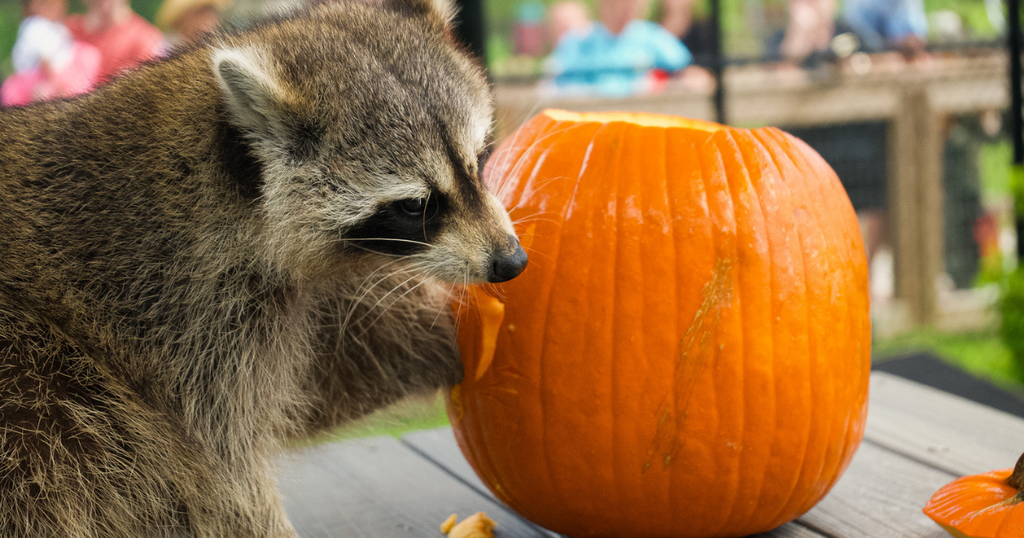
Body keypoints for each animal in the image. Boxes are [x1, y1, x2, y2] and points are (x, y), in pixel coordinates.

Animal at [0, 0, 527, 536]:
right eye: (417, 205)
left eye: (481, 158)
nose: (512, 261)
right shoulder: (184, 321)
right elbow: (224, 478)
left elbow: (337, 360)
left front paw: (444, 334)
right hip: (33, 375)